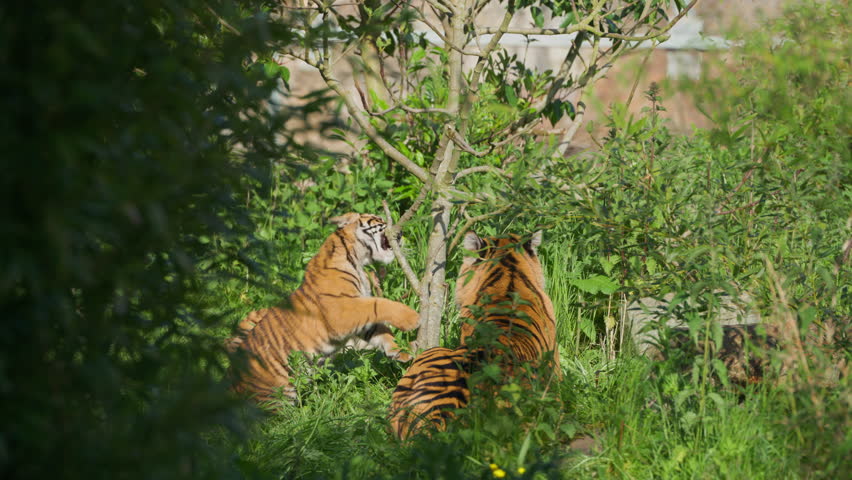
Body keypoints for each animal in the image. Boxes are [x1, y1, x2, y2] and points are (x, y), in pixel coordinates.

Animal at [227, 212, 420, 406]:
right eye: (378, 219)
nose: (401, 232)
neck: (357, 259)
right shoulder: (342, 312)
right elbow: (379, 303)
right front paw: (412, 318)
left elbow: (380, 331)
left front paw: (403, 350)